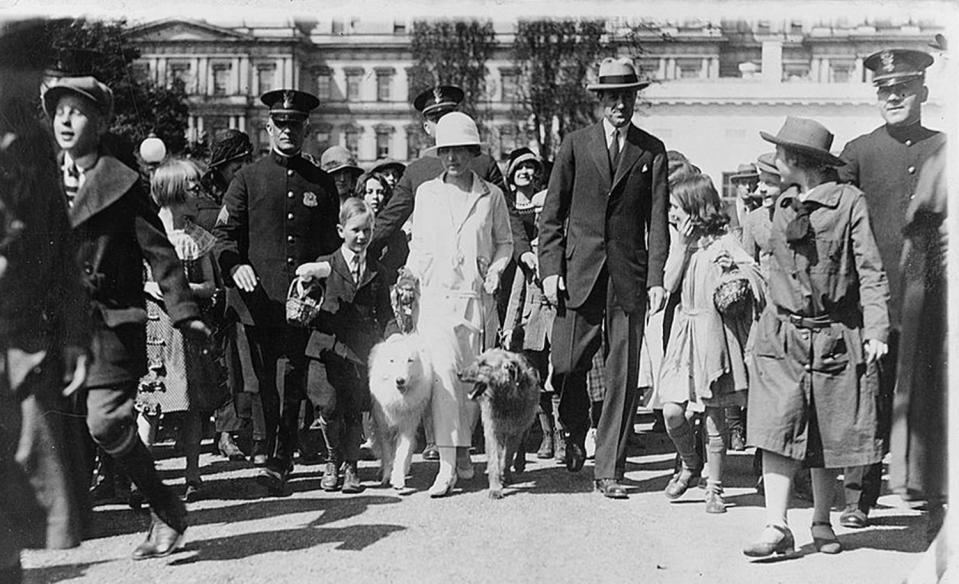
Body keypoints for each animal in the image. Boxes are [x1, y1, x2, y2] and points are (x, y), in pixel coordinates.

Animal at [370, 334, 434, 488]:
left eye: (410, 360)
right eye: (392, 361)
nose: (400, 381)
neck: (399, 399)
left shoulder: (407, 426)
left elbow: (402, 453)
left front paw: (398, 479)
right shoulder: (384, 428)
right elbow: (387, 455)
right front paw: (386, 477)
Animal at [460, 350, 540, 500]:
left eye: (484, 364)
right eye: (478, 361)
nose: (458, 373)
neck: (505, 398)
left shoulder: (515, 432)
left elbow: (508, 456)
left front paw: (505, 475)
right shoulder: (492, 430)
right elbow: (494, 460)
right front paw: (495, 487)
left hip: (526, 426)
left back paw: (518, 464)